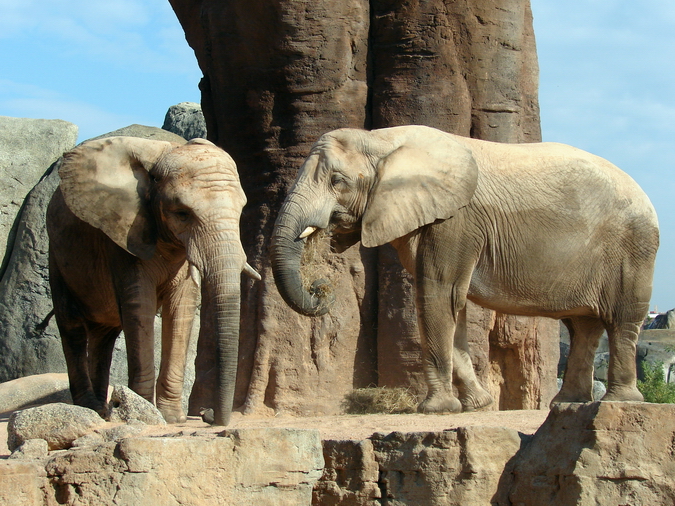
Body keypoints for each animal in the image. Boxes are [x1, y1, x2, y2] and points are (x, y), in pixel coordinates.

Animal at [47, 136, 259, 425]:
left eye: (240, 210)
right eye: (182, 213)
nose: (208, 415)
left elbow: (181, 309)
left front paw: (172, 418)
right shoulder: (123, 236)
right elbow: (140, 308)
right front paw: (145, 413)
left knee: (104, 336)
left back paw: (103, 411)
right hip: (57, 258)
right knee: (72, 327)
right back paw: (90, 408)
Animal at [270, 125, 659, 413]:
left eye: (337, 181)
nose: (320, 288)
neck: (384, 140)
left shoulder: (456, 221)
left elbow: (437, 295)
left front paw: (435, 410)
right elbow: (451, 304)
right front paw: (477, 405)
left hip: (634, 248)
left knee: (622, 320)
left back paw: (620, 402)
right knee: (583, 327)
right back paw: (567, 404)